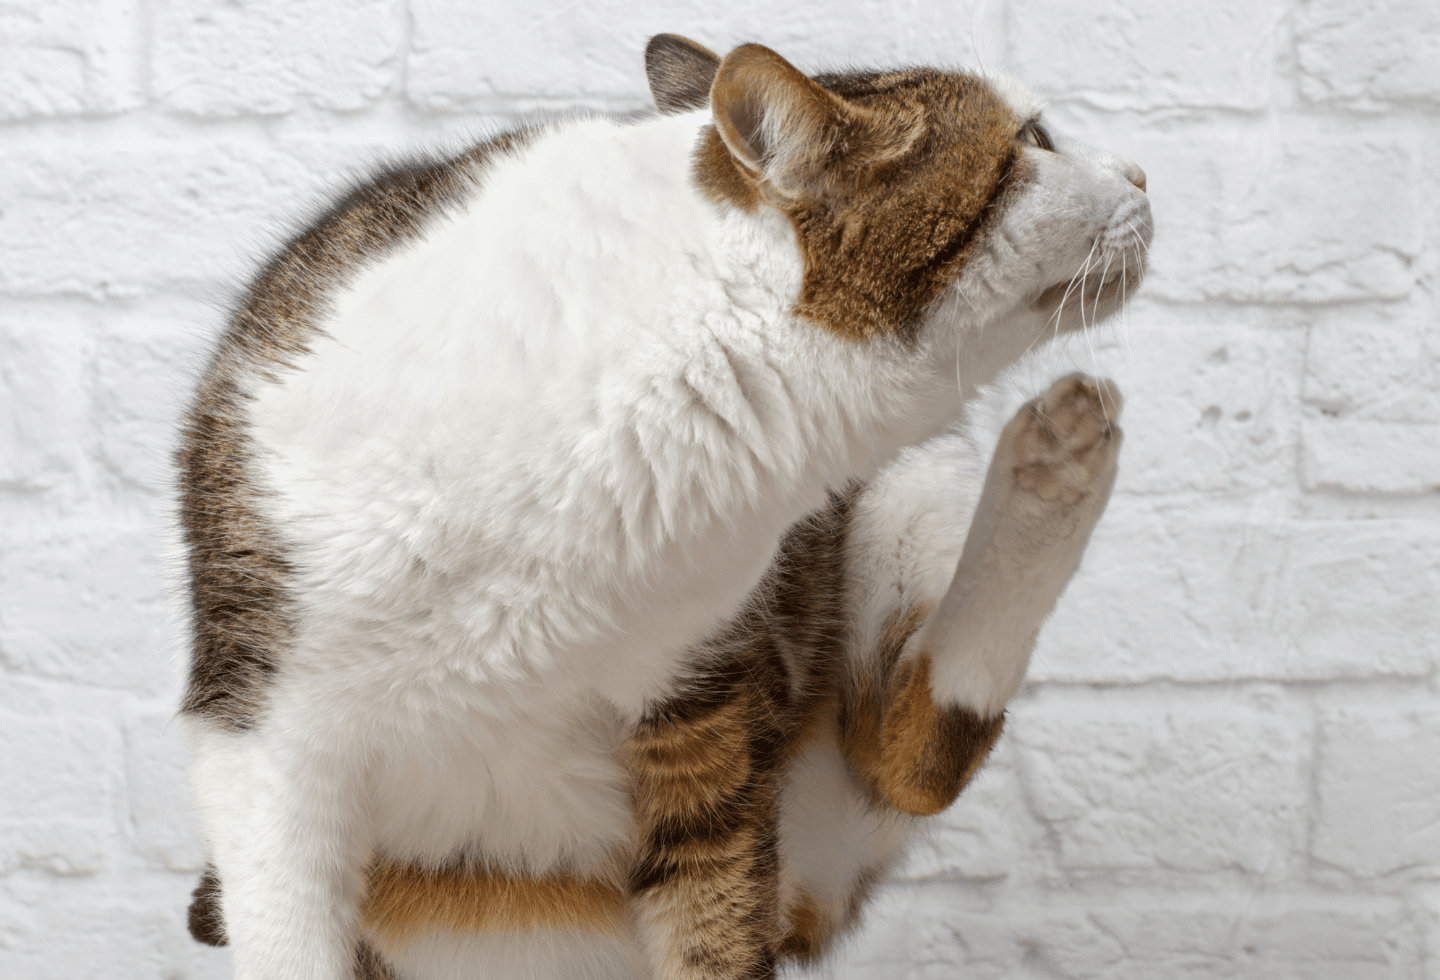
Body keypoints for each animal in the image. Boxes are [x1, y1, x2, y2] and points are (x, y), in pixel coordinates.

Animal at [177, 30, 1146, 978]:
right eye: (1032, 140)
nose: (1139, 173)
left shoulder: (706, 699)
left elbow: (713, 908)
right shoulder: (261, 738)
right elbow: (286, 928)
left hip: (902, 505)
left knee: (905, 759)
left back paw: (1054, 461)